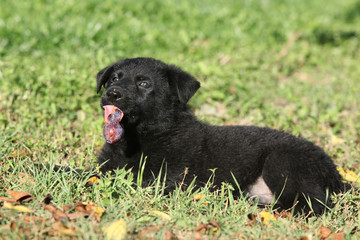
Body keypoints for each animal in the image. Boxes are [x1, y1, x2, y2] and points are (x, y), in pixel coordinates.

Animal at [95, 57, 346, 215]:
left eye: (144, 83)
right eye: (113, 79)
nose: (112, 93)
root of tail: (334, 171)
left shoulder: (168, 179)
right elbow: (94, 175)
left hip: (282, 161)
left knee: (313, 204)